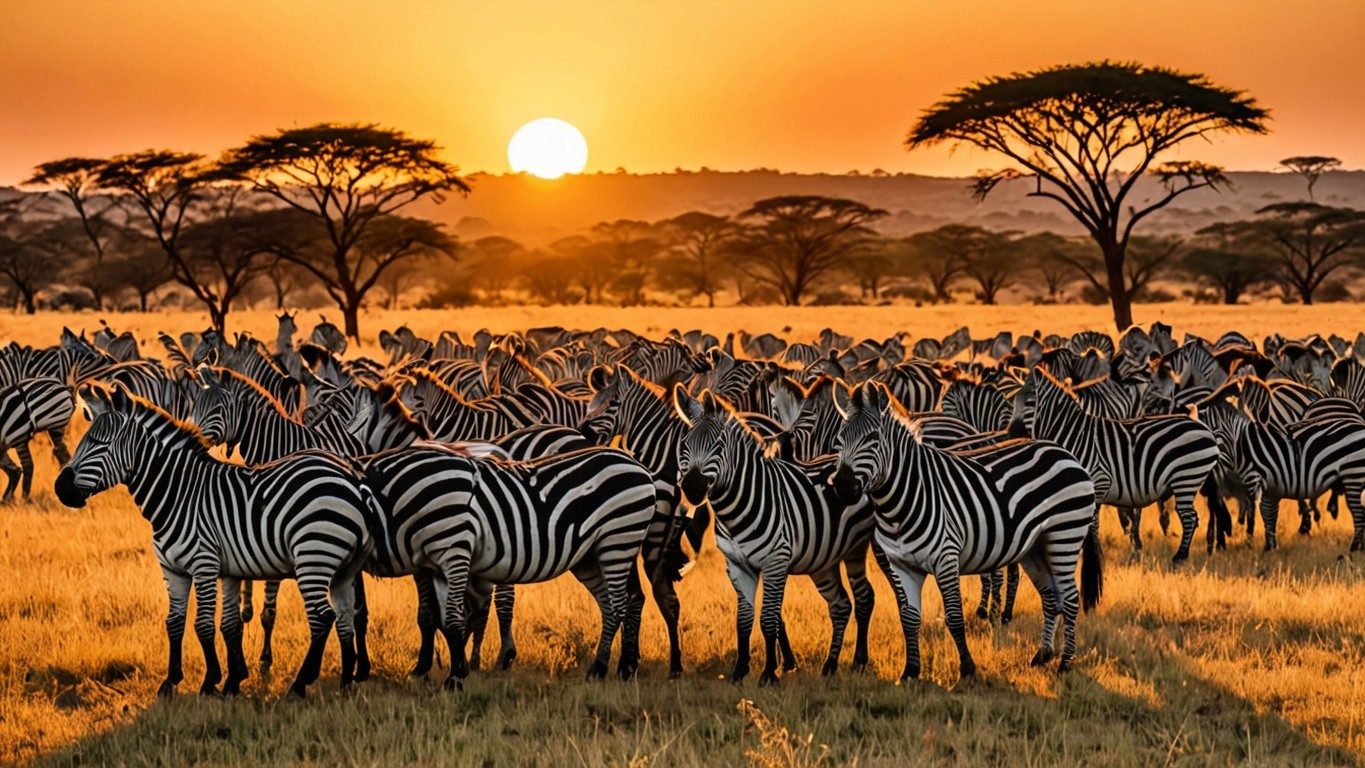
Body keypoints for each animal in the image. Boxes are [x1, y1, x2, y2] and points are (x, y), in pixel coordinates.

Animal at [55, 387, 376, 698]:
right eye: (86, 440)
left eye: (100, 444)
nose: (60, 488)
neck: (179, 494)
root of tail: (352, 478)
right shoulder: (177, 570)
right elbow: (182, 623)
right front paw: (179, 682)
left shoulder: (204, 564)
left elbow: (204, 625)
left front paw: (210, 682)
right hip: (343, 568)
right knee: (345, 615)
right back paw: (346, 683)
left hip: (314, 556)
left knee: (322, 618)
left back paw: (299, 685)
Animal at [362, 444, 657, 690]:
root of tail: (638, 466)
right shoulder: (430, 564)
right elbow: (433, 617)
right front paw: (433, 670)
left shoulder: (452, 547)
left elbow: (451, 617)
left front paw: (455, 676)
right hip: (590, 556)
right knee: (621, 602)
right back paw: (621, 668)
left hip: (618, 538)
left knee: (618, 605)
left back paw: (600, 669)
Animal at [672, 387, 877, 685]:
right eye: (685, 445)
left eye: (718, 446)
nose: (693, 488)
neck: (737, 507)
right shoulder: (736, 566)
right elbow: (744, 620)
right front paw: (739, 672)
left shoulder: (775, 562)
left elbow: (768, 619)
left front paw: (769, 673)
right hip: (824, 561)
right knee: (840, 605)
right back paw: (830, 666)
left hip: (859, 549)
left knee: (864, 598)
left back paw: (859, 662)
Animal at [831, 382, 1102, 681]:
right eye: (840, 439)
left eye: (873, 439)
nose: (842, 487)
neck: (901, 500)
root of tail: (1065, 453)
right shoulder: (901, 565)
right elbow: (910, 619)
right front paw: (911, 671)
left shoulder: (946, 558)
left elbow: (954, 617)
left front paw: (968, 669)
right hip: (1036, 547)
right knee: (1051, 596)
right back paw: (1042, 656)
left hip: (1064, 535)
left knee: (1071, 598)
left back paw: (1065, 663)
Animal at [1012, 368, 1222, 563]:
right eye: (1014, 401)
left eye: (1029, 402)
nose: (1012, 434)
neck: (1073, 434)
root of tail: (1197, 423)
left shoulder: (1098, 481)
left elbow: (1091, 525)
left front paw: (1093, 557)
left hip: (1187, 477)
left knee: (1189, 517)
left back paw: (1180, 558)